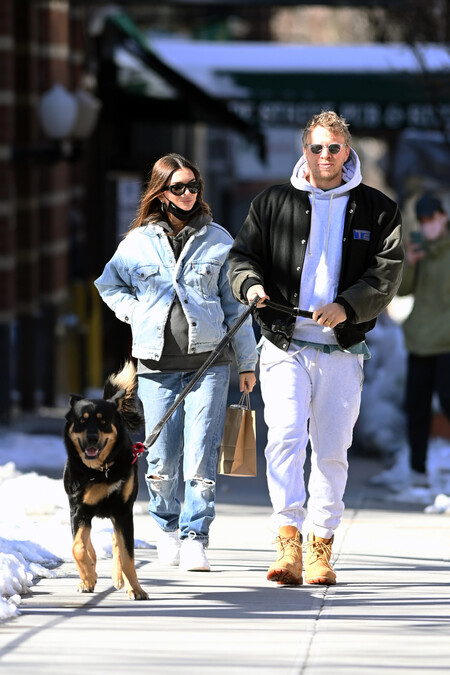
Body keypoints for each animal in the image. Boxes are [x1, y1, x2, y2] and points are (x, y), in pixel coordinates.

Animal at [63, 362, 149, 600]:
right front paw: (88, 577)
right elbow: (78, 546)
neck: (101, 471)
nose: (92, 438)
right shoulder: (79, 510)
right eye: (81, 421)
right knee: (89, 543)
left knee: (117, 543)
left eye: (103, 421)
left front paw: (136, 588)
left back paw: (121, 580)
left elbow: (128, 557)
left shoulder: (123, 511)